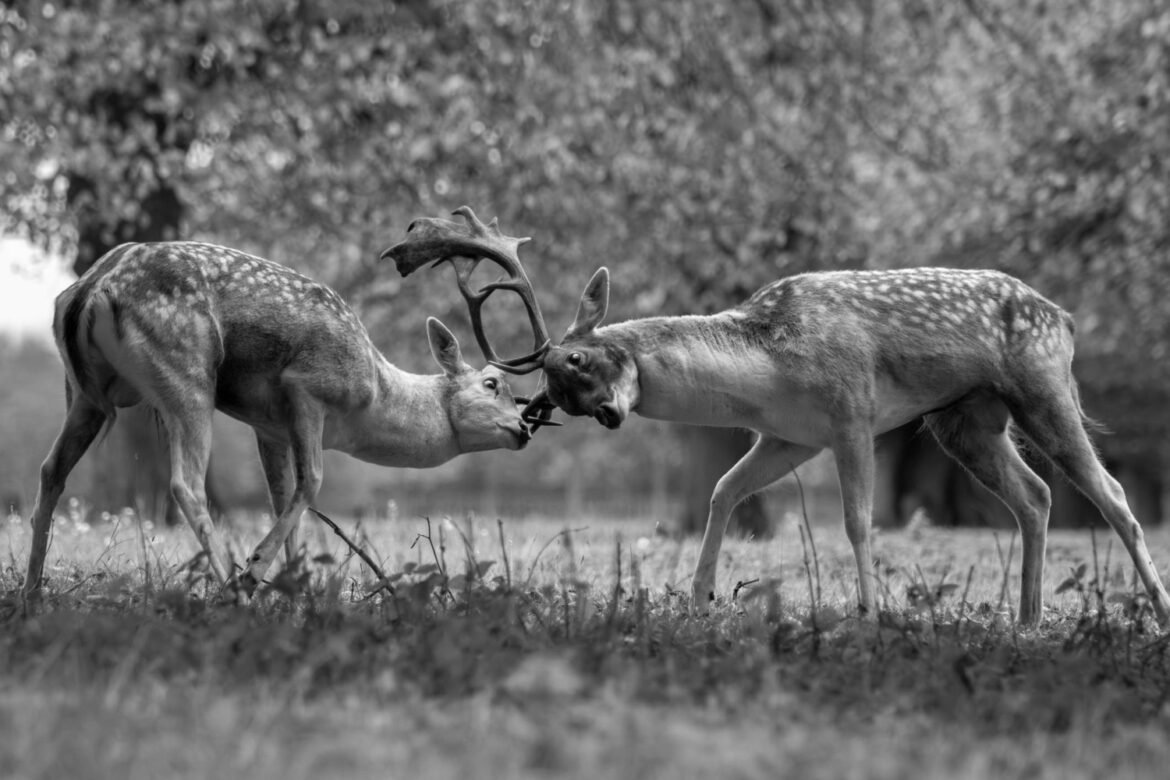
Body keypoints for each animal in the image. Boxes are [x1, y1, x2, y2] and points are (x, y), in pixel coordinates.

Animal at [24, 239, 536, 602]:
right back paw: (231, 590)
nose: (525, 428)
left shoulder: (268, 425)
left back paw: (32, 592)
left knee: (51, 470)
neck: (370, 397)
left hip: (83, 393)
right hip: (186, 371)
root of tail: (92, 288)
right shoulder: (307, 389)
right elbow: (311, 484)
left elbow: (281, 497)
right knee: (186, 483)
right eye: (493, 383)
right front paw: (255, 573)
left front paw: (293, 592)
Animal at [383, 206, 1170, 627]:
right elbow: (723, 490)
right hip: (966, 419)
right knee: (1035, 495)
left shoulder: (852, 410)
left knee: (1112, 493)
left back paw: (1155, 611)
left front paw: (869, 612)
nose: (607, 414)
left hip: (1041, 383)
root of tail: (1066, 317)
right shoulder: (790, 437)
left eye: (579, 359)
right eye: (558, 391)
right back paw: (1028, 617)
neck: (768, 365)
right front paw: (699, 597)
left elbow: (857, 520)